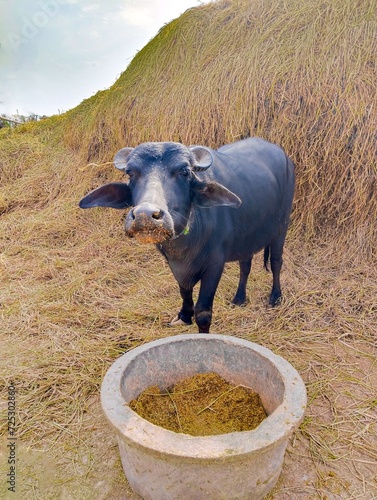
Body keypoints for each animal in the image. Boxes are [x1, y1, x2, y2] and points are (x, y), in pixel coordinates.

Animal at [81, 138, 296, 332]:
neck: (186, 245)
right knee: (245, 265)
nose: (145, 215)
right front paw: (184, 315)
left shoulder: (215, 264)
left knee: (276, 262)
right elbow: (184, 291)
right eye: (131, 172)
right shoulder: (175, 265)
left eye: (184, 172)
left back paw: (275, 297)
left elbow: (203, 312)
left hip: (282, 227)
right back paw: (239, 298)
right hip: (247, 237)